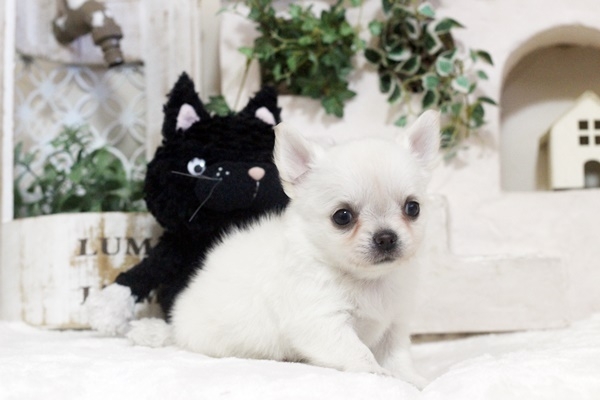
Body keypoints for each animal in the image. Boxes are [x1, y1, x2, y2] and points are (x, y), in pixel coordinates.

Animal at [134, 111, 440, 389]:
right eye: (342, 217)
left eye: (413, 208)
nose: (386, 237)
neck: (366, 280)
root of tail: (176, 325)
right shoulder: (321, 322)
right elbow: (358, 352)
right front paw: (378, 376)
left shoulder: (394, 324)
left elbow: (398, 357)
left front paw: (415, 380)